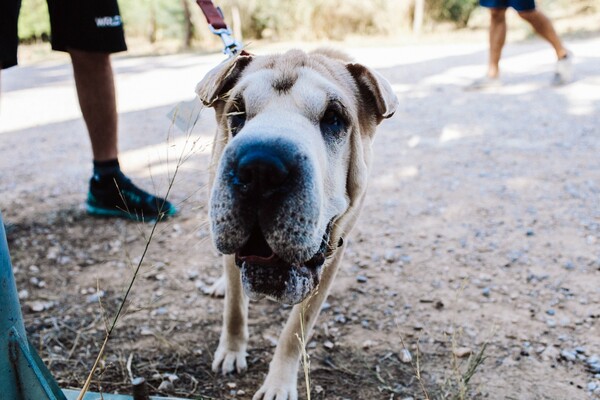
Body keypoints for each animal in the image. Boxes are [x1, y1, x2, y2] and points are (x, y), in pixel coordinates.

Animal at [195, 49, 396, 400]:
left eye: (333, 119)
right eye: (237, 112)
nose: (259, 167)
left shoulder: (331, 257)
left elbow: (294, 331)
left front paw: (277, 385)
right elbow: (234, 308)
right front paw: (232, 350)